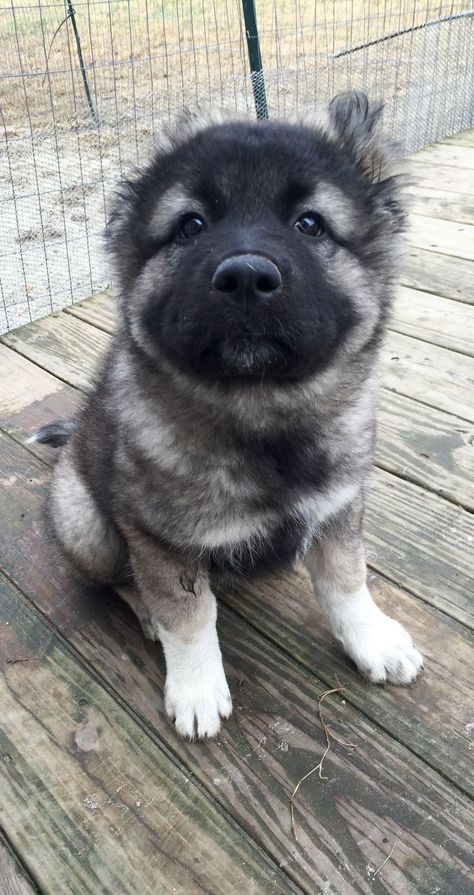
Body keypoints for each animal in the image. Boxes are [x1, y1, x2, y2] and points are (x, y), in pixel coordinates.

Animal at [35, 91, 424, 740]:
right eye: (191, 225)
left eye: (310, 223)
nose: (245, 278)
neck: (261, 410)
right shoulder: (163, 541)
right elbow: (189, 615)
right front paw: (195, 688)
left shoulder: (339, 507)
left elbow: (347, 581)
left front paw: (372, 641)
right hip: (85, 523)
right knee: (120, 581)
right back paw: (144, 613)